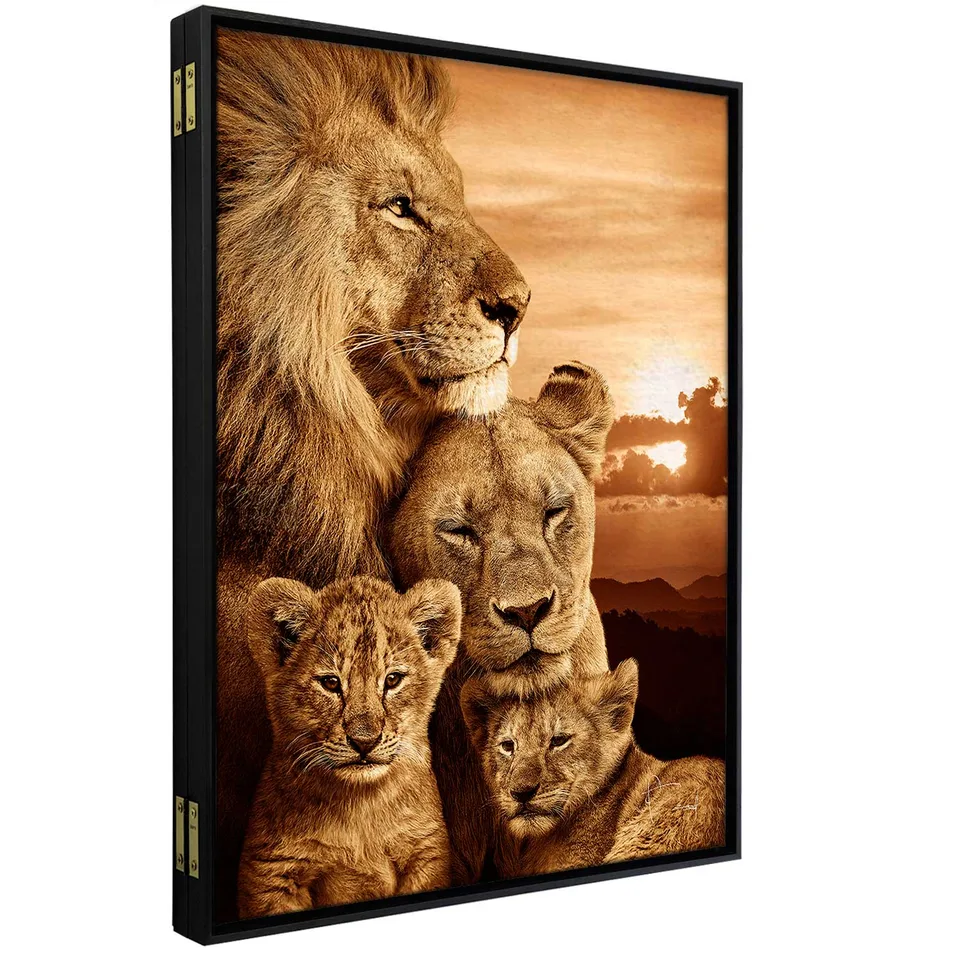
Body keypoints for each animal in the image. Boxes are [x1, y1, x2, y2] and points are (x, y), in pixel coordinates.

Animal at [238, 575, 461, 919]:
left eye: (393, 680)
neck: (360, 806)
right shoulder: (273, 871)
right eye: (330, 683)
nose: (364, 741)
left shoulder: (426, 854)